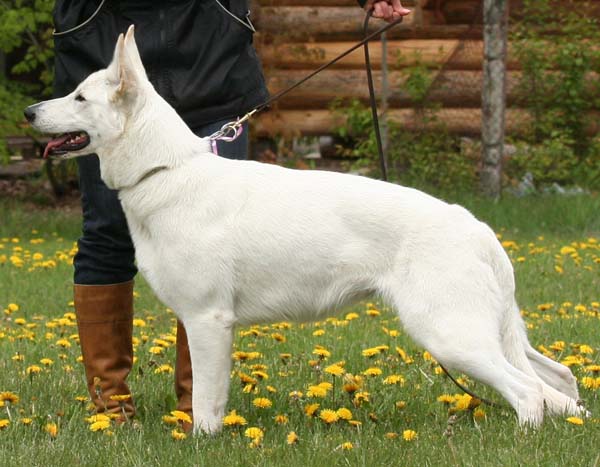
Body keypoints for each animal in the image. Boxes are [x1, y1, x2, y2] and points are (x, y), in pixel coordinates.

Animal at [25, 27, 584, 434]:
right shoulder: (202, 322)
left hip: (451, 335)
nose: (29, 112)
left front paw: (200, 443)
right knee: (558, 379)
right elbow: (210, 397)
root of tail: (477, 227)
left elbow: (205, 404)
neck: (166, 170)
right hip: (485, 331)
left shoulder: (208, 321)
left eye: (79, 97)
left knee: (529, 392)